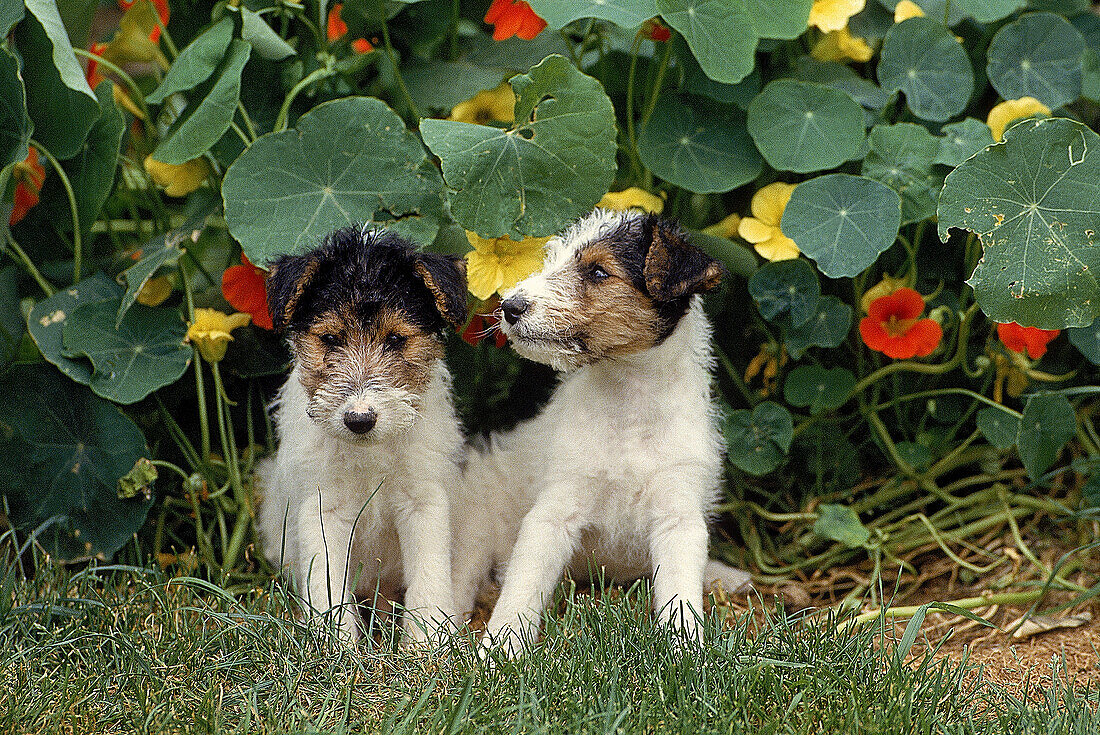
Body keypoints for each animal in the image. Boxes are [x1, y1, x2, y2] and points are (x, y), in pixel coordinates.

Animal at [257, 225, 468, 642]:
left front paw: (427, 645)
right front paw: (336, 647)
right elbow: (327, 585)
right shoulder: (323, 507)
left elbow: (428, 576)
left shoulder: (424, 500)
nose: (359, 419)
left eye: (396, 340)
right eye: (330, 339)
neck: (370, 451)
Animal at [451, 207, 752, 655]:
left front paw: (685, 652)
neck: (628, 400)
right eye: (551, 259)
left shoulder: (678, 516)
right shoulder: (553, 513)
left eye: (597, 271)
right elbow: (522, 589)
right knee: (458, 578)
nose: (509, 306)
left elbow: (681, 592)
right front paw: (501, 650)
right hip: (475, 526)